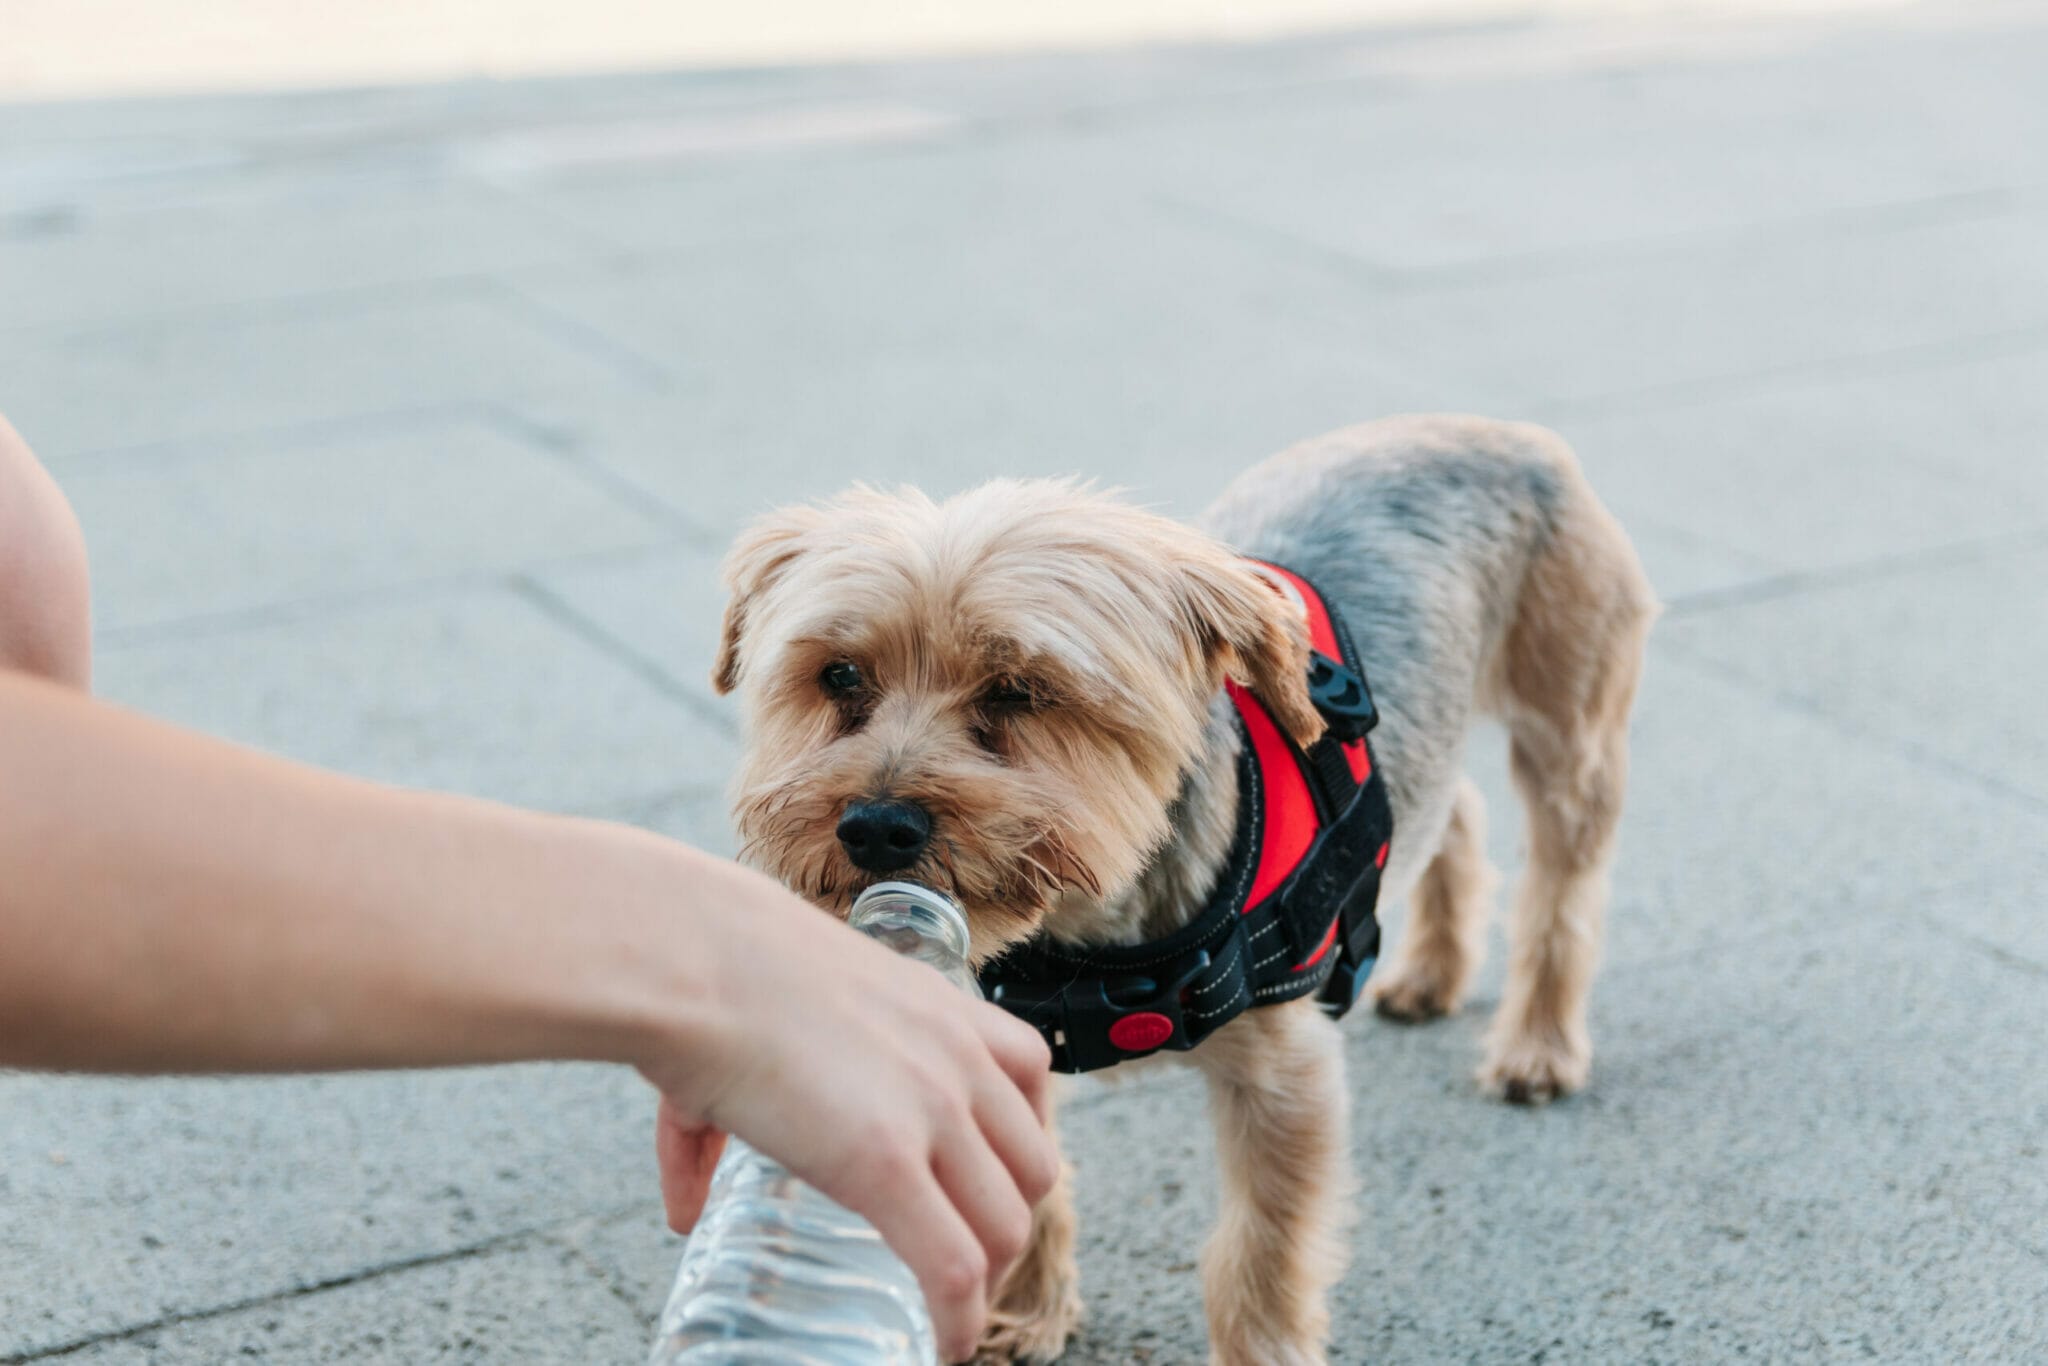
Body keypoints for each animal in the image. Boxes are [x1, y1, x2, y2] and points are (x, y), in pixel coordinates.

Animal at [712, 417, 1654, 1366]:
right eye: (840, 678)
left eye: (1020, 692)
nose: (875, 826)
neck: (1084, 929)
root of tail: (1501, 430)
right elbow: (1022, 1179)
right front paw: (1022, 1309)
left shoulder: (1284, 1076)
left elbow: (1260, 1253)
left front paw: (1259, 1348)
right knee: (1449, 809)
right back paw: (1432, 973)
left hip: (1569, 724)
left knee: (1562, 889)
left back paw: (1537, 1047)